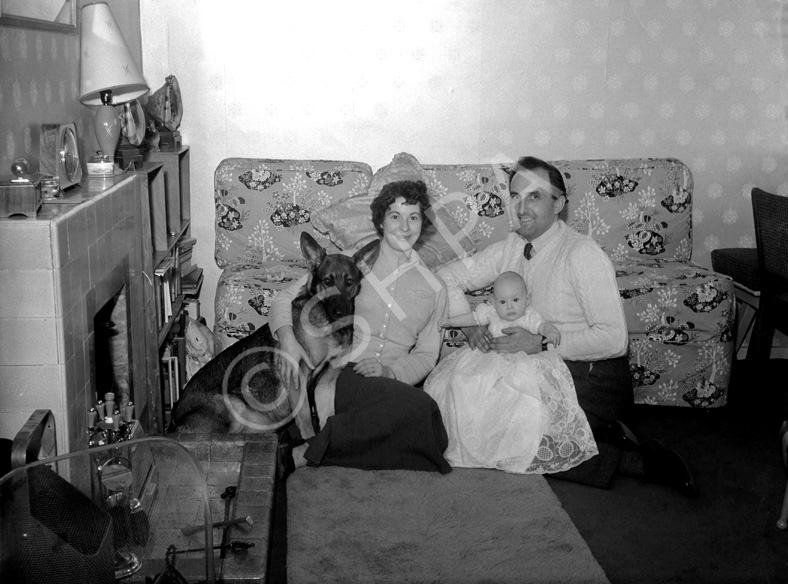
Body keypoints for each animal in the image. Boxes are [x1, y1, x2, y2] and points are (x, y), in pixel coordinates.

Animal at [171, 233, 380, 434]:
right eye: (327, 281)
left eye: (349, 282)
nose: (340, 313)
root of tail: (172, 420)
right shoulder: (298, 377)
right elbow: (307, 424)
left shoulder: (327, 381)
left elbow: (327, 419)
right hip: (236, 405)